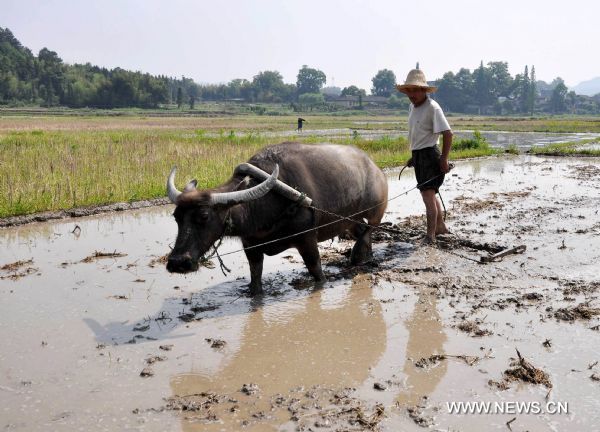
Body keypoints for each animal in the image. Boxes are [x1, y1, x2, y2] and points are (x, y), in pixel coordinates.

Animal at [166, 142, 386, 294]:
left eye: (204, 216)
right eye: (176, 217)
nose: (177, 262)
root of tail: (375, 168)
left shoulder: (307, 240)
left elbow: (317, 271)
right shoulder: (251, 246)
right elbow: (255, 277)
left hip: (376, 210)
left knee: (370, 229)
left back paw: (359, 256)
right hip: (348, 219)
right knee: (360, 230)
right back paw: (365, 256)